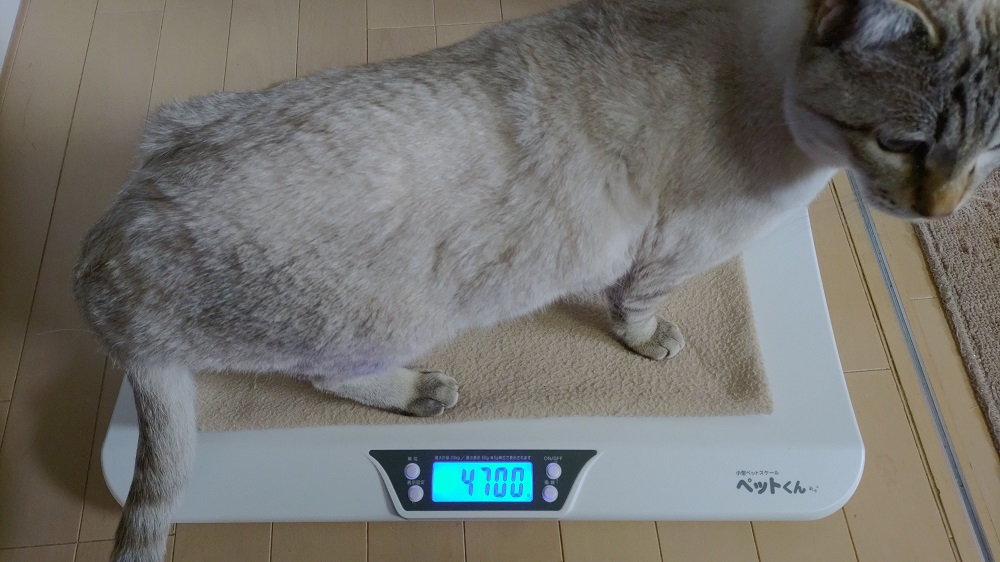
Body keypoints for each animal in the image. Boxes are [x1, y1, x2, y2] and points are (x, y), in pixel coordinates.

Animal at [72, 0, 1000, 560]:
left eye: (989, 152)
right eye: (905, 144)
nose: (946, 212)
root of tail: (98, 279)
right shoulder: (676, 248)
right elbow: (637, 308)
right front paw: (651, 340)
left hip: (184, 117)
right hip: (390, 318)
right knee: (329, 375)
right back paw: (421, 392)